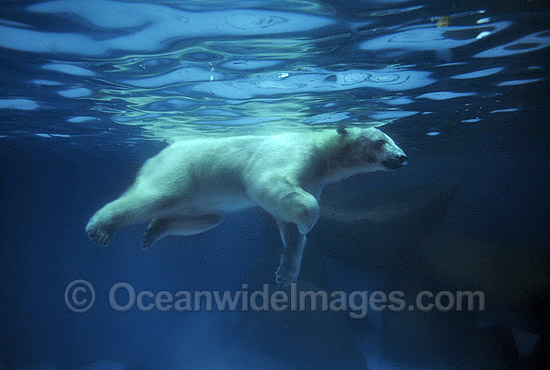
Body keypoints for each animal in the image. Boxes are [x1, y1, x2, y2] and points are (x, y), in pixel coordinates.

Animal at [87, 127, 410, 286]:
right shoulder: (290, 155)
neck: (319, 151)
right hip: (181, 169)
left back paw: (154, 231)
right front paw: (309, 221)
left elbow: (288, 225)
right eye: (382, 141)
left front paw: (285, 274)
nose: (403, 157)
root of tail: (159, 154)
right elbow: (268, 183)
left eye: (392, 138)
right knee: (155, 196)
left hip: (205, 198)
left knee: (205, 218)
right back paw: (100, 228)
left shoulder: (314, 179)